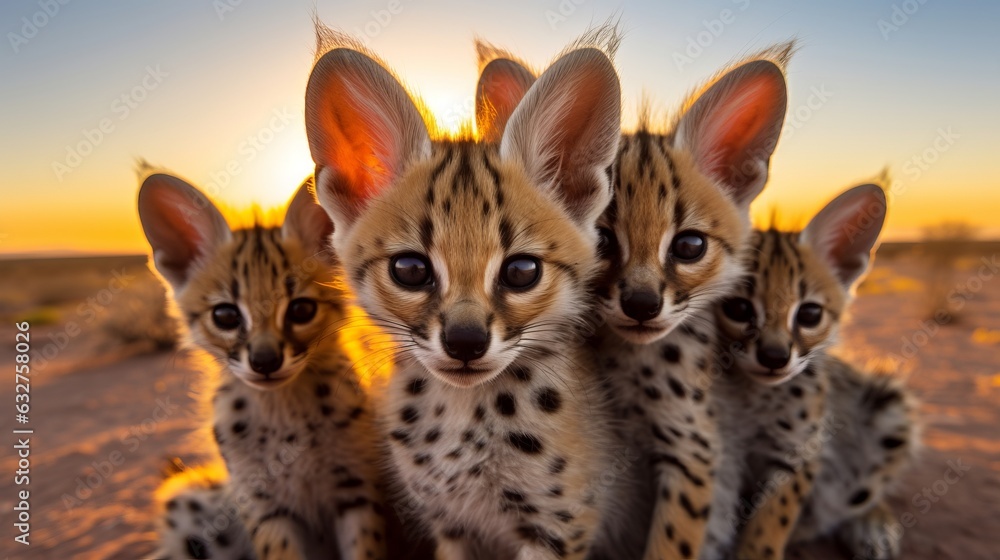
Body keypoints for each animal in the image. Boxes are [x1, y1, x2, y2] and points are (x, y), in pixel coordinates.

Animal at [141, 176, 386, 560]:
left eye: (301, 310)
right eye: (225, 316)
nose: (265, 361)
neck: (284, 415)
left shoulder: (358, 491)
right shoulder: (262, 505)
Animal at [308, 43, 624, 560]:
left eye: (521, 272)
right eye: (410, 269)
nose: (465, 341)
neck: (462, 414)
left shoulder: (560, 528)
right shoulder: (451, 526)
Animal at [716, 183, 916, 556]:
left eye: (810, 315)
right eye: (738, 308)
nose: (775, 356)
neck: (757, 397)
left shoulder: (800, 453)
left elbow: (769, 526)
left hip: (890, 409)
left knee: (856, 497)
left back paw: (870, 525)